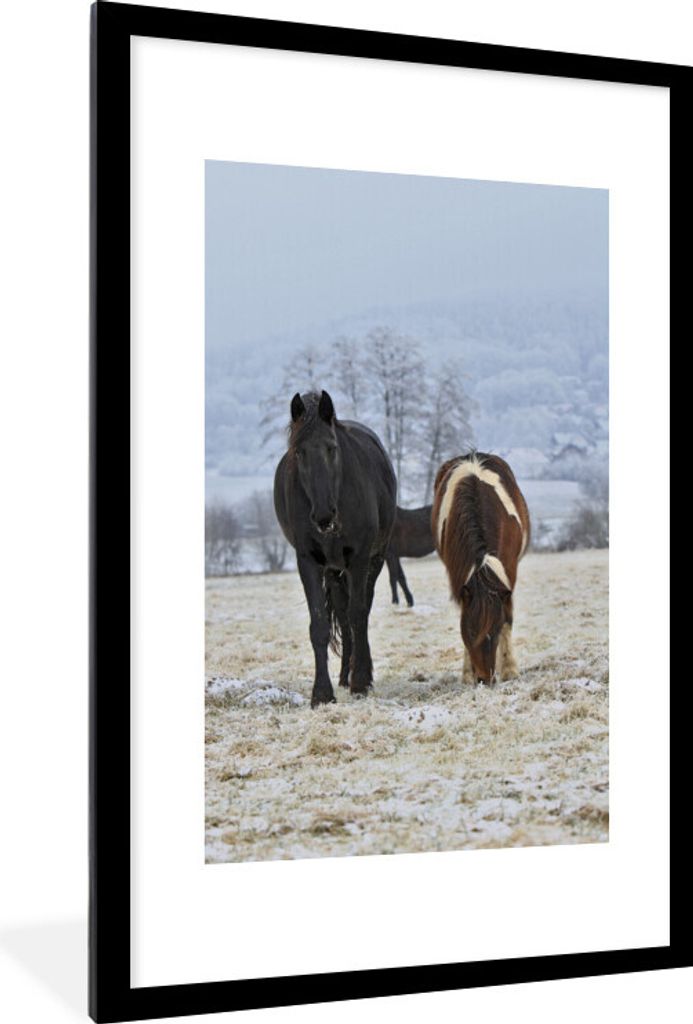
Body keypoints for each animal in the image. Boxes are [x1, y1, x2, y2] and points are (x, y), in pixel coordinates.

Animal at [274, 390, 397, 707]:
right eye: (299, 452)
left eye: (332, 448)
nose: (323, 515)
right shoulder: (308, 561)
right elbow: (319, 625)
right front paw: (322, 693)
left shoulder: (360, 559)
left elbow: (358, 616)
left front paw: (361, 682)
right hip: (333, 570)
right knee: (341, 613)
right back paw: (343, 675)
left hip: (374, 560)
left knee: (359, 612)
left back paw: (359, 674)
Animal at [431, 452, 530, 685]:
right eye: (467, 632)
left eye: (494, 630)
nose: (484, 679)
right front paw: (467, 673)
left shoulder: (508, 574)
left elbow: (508, 618)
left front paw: (510, 669)